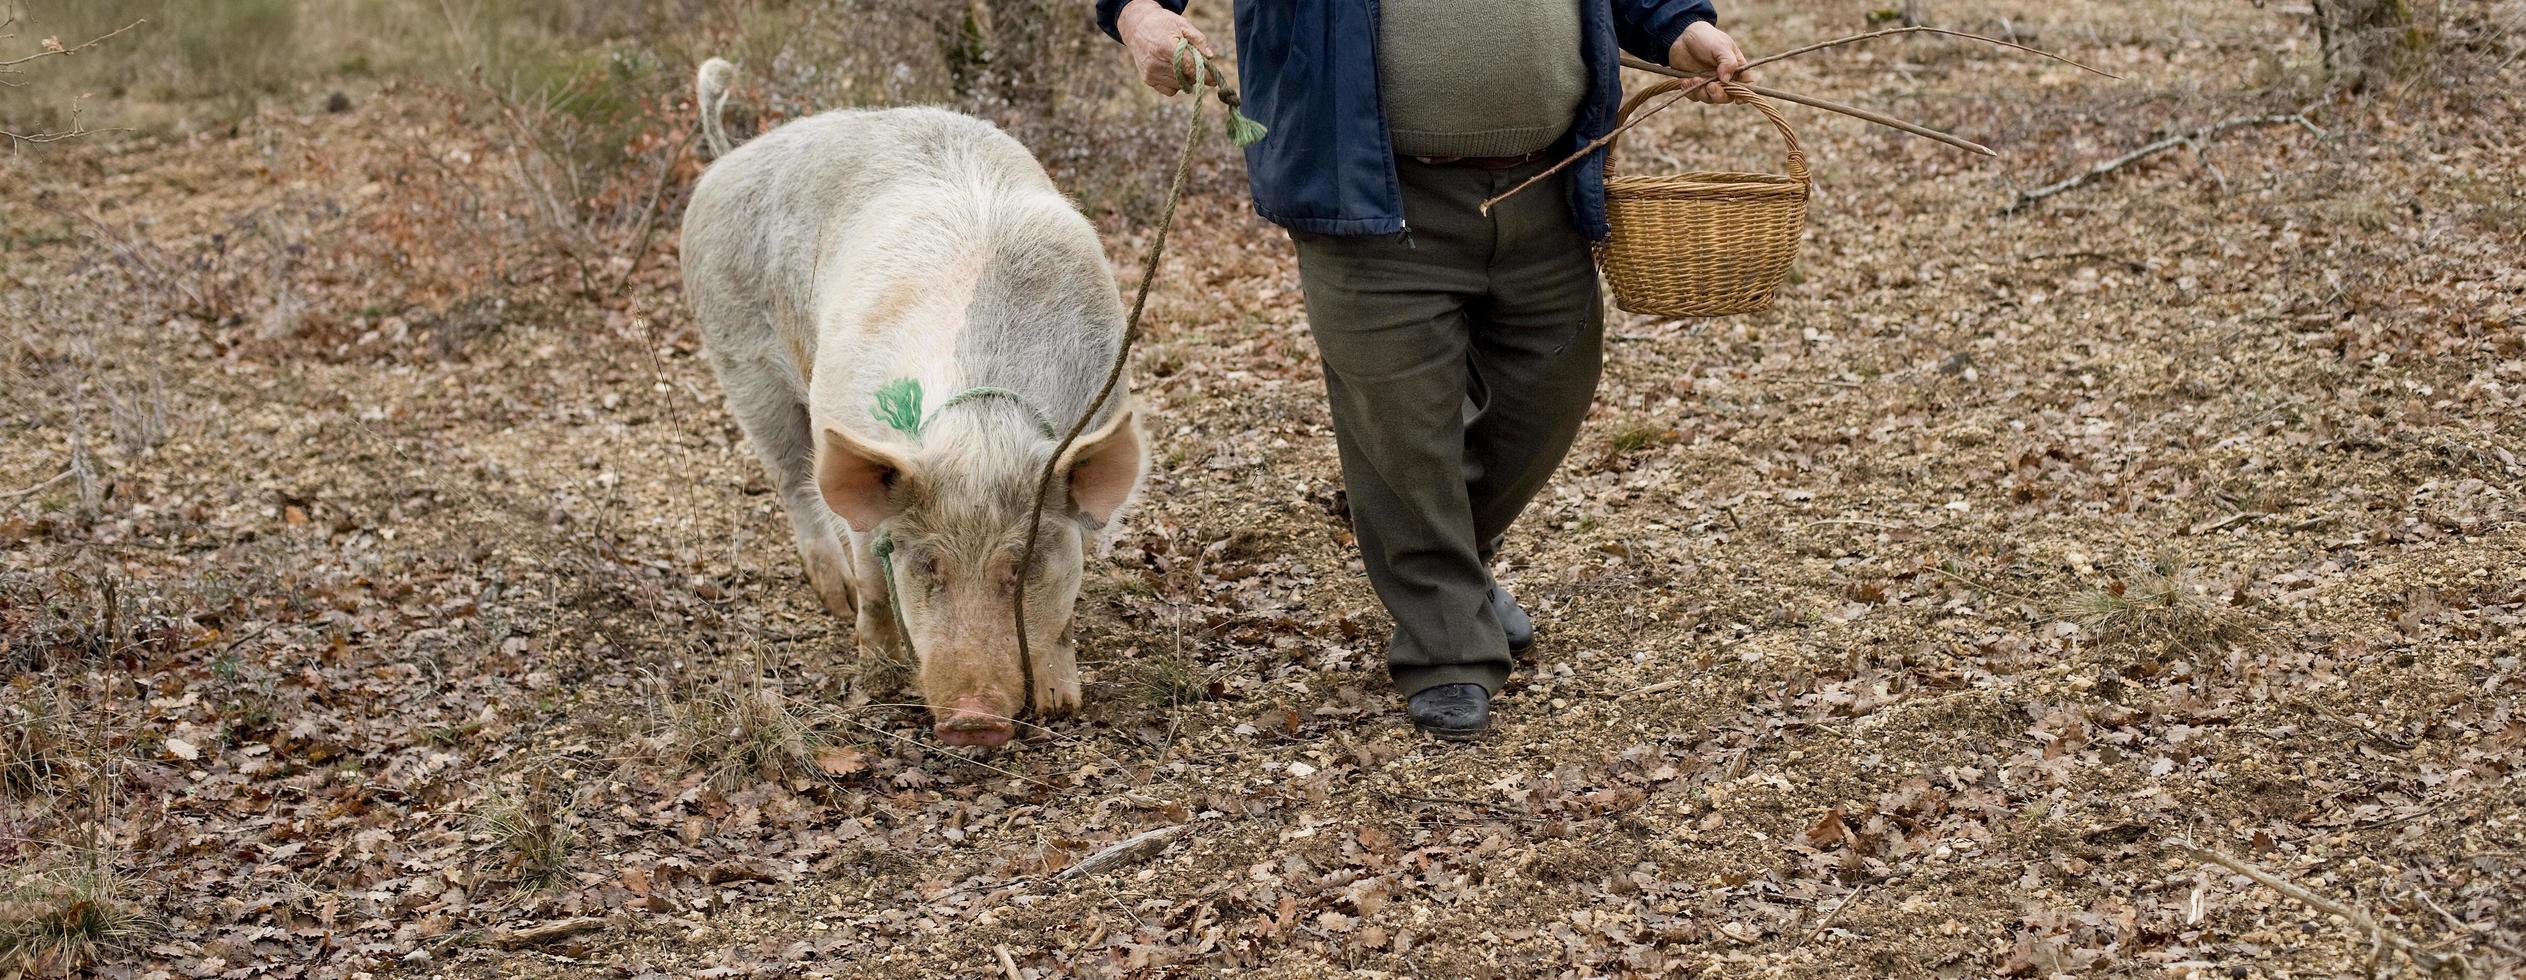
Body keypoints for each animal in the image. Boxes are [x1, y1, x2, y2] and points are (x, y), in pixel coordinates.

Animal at [671, 61, 1146, 747]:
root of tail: (729, 155)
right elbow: (872, 569)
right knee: (792, 481)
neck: (979, 430)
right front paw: (876, 673)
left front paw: (1062, 705)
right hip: (739, 360)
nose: (973, 720)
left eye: (1023, 566)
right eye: (926, 565)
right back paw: (833, 597)